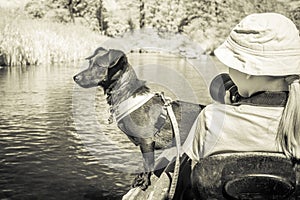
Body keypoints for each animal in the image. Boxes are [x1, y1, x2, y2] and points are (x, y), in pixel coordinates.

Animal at [73, 47, 204, 190]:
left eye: (97, 65)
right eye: (90, 63)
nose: (75, 77)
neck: (125, 95)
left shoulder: (146, 141)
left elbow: (148, 164)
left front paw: (145, 181)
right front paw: (140, 178)